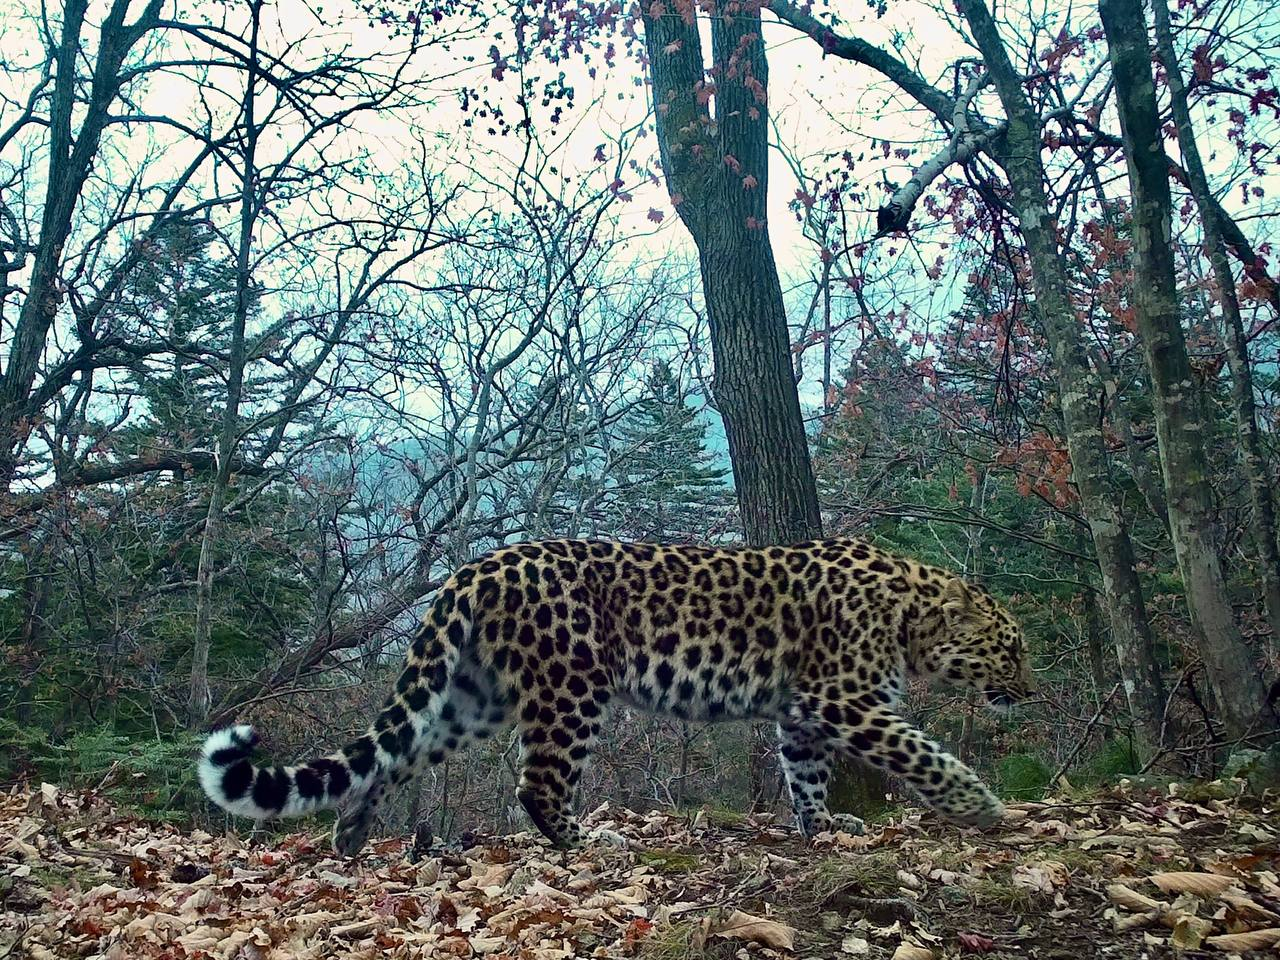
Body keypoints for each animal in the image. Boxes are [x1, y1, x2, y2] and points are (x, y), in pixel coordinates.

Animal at [202, 535, 1039, 855]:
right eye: (1010, 647)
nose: (1025, 689)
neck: (910, 615)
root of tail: (476, 566)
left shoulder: (803, 713)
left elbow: (805, 773)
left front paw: (823, 824)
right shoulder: (846, 701)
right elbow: (924, 752)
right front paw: (982, 806)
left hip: (473, 699)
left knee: (392, 755)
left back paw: (350, 835)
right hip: (573, 685)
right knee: (538, 783)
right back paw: (587, 842)